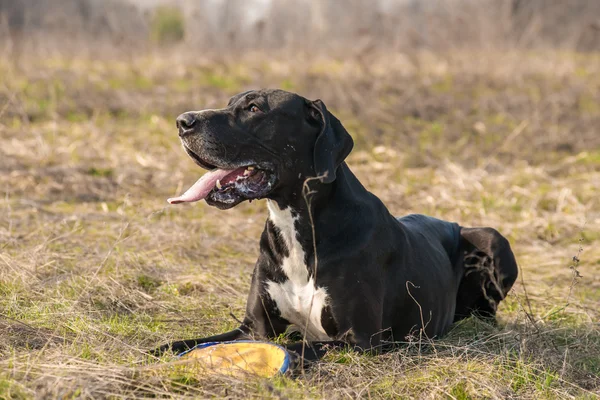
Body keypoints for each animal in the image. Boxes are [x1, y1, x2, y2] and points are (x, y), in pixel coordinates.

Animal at [159, 89, 520, 360]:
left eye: (254, 108)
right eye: (231, 101)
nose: (182, 122)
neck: (299, 225)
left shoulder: (358, 339)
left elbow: (295, 346)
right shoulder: (252, 328)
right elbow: (178, 344)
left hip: (492, 240)